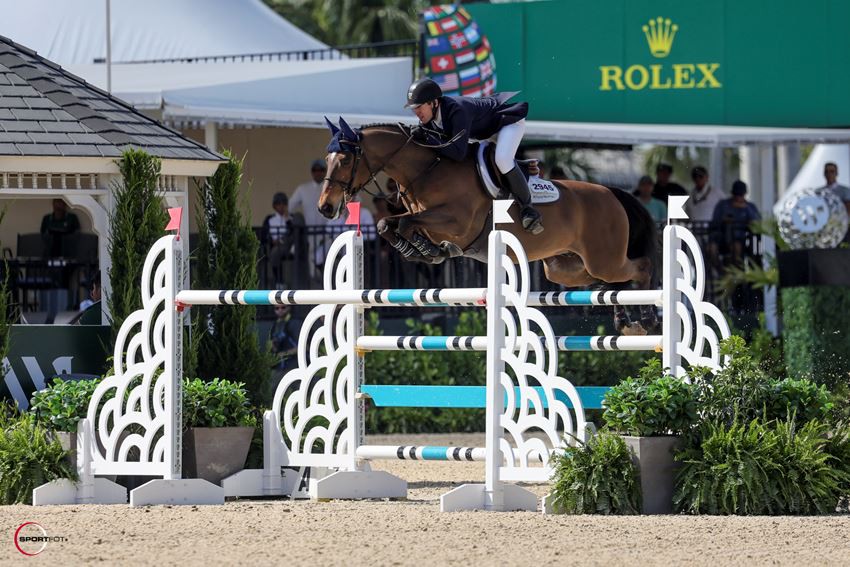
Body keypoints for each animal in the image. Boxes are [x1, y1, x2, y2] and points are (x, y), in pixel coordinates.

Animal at [318, 117, 656, 336]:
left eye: (344, 160)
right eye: (327, 158)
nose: (325, 207)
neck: (426, 170)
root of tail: (612, 193)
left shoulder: (457, 221)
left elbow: (402, 223)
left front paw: (428, 250)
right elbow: (390, 225)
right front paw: (426, 251)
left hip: (603, 259)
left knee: (641, 267)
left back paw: (648, 318)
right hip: (566, 268)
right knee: (609, 282)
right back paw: (625, 319)